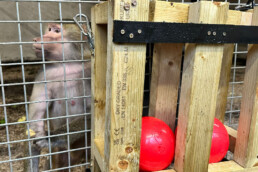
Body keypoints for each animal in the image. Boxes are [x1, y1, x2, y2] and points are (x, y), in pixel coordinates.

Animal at [23, 21, 91, 172]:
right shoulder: (43, 75)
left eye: (56, 31)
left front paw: (50, 138)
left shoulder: (90, 71)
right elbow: (34, 125)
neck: (68, 65)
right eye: (49, 29)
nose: (36, 39)